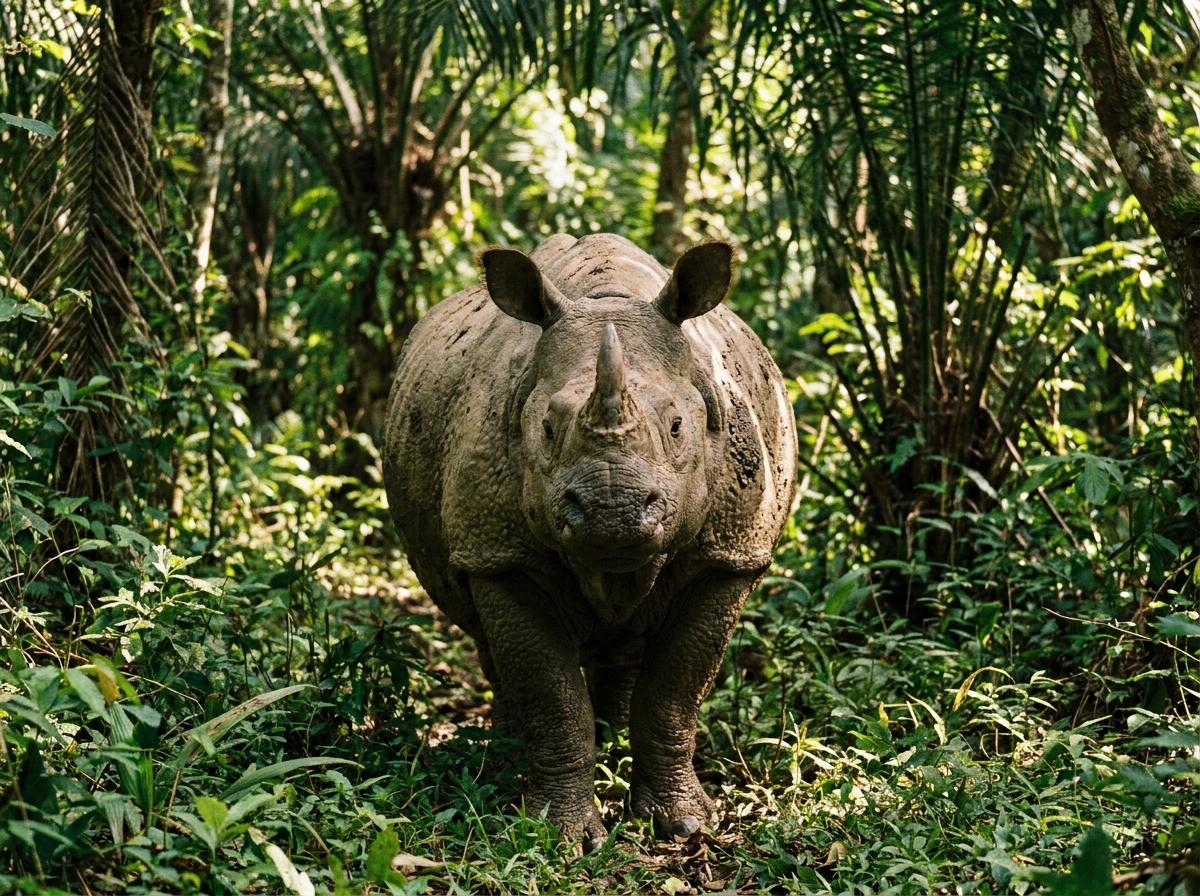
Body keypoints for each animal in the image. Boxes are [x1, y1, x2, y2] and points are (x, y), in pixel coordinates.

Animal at [383, 232, 796, 845]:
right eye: (548, 428)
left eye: (678, 426)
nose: (612, 509)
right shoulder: (498, 552)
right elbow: (551, 694)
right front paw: (561, 834)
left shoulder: (730, 553)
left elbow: (675, 691)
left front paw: (683, 825)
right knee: (488, 639)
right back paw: (505, 760)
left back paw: (614, 746)